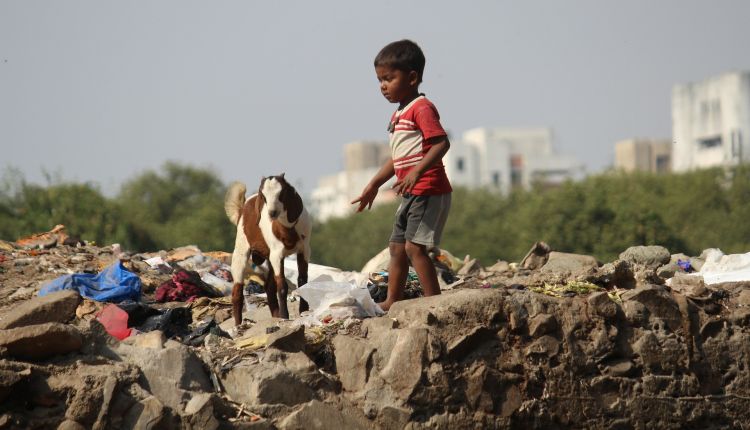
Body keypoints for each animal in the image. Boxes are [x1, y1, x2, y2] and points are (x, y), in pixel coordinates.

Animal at [228, 173, 312, 324]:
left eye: (282, 193)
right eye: (264, 195)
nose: (272, 213)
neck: (286, 230)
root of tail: (242, 208)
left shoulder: (304, 250)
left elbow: (302, 281)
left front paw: (303, 310)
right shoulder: (277, 255)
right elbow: (282, 286)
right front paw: (285, 316)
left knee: (269, 287)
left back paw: (275, 316)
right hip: (241, 247)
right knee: (237, 291)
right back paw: (238, 325)